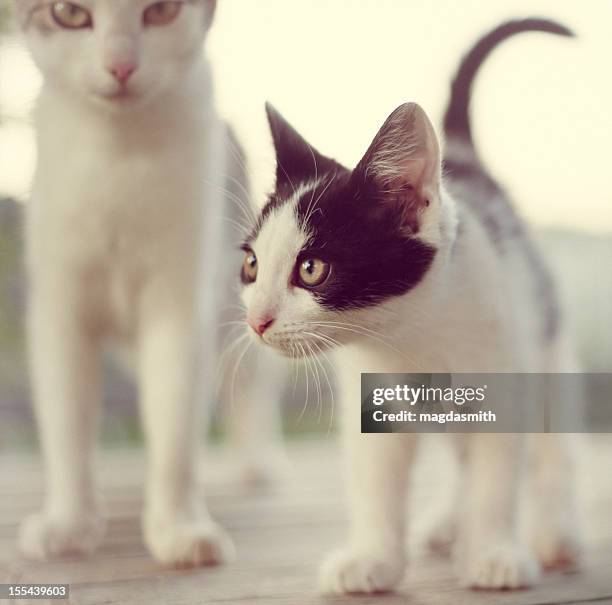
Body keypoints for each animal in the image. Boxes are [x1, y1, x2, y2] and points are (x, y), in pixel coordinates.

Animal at [11, 0, 284, 568]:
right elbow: (66, 423)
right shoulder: (60, 307)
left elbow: (175, 425)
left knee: (253, 379)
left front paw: (177, 526)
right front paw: (69, 522)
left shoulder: (180, 303)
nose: (120, 63)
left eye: (160, 11)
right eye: (69, 13)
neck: (119, 162)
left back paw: (256, 463)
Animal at [240, 20, 584, 596]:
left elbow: (496, 477)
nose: (256, 320)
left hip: (547, 343)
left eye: (311, 269)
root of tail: (463, 158)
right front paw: (372, 559)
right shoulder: (367, 395)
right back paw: (447, 523)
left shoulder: (503, 371)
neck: (409, 335)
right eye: (250, 265)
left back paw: (555, 534)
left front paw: (492, 553)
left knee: (553, 452)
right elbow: (376, 483)